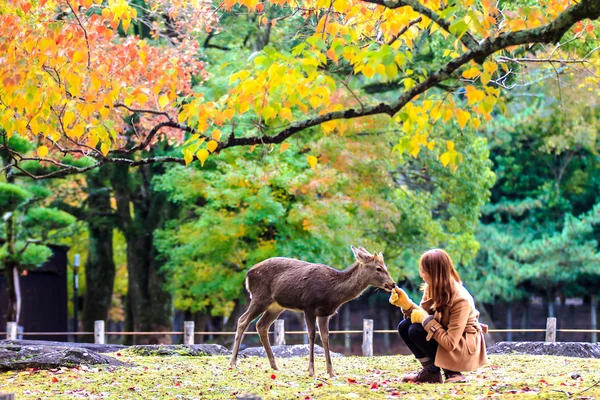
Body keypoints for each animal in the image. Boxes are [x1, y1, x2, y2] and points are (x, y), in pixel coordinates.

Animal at [229, 244, 394, 378]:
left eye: (385, 266)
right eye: (378, 268)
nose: (392, 284)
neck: (332, 292)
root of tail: (248, 275)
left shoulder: (325, 313)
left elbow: (325, 337)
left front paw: (331, 372)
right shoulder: (308, 305)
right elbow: (312, 335)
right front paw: (311, 371)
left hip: (276, 305)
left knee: (261, 325)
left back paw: (275, 366)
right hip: (260, 297)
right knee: (242, 320)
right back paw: (233, 362)